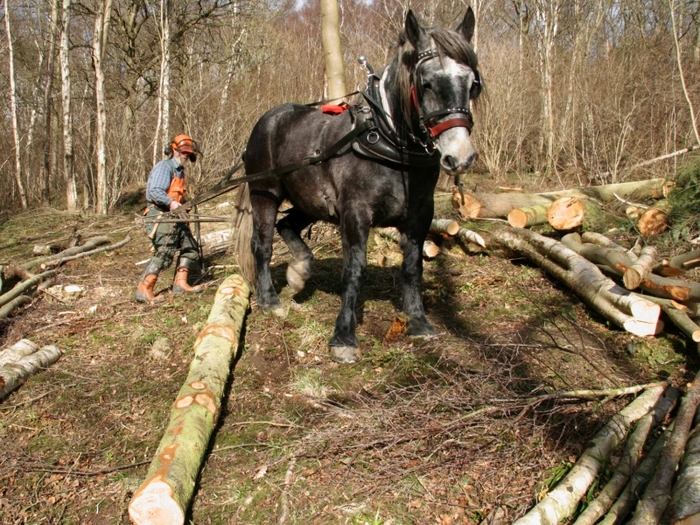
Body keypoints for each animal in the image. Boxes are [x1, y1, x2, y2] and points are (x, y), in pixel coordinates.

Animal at [233, 8, 482, 363]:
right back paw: (270, 300)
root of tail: (267, 121)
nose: (460, 157)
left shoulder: (420, 215)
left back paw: (299, 272)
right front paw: (344, 336)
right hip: (264, 195)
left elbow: (412, 267)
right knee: (263, 243)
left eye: (472, 84)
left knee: (287, 225)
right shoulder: (355, 213)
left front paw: (418, 322)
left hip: (310, 201)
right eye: (426, 82)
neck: (388, 142)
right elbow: (355, 270)